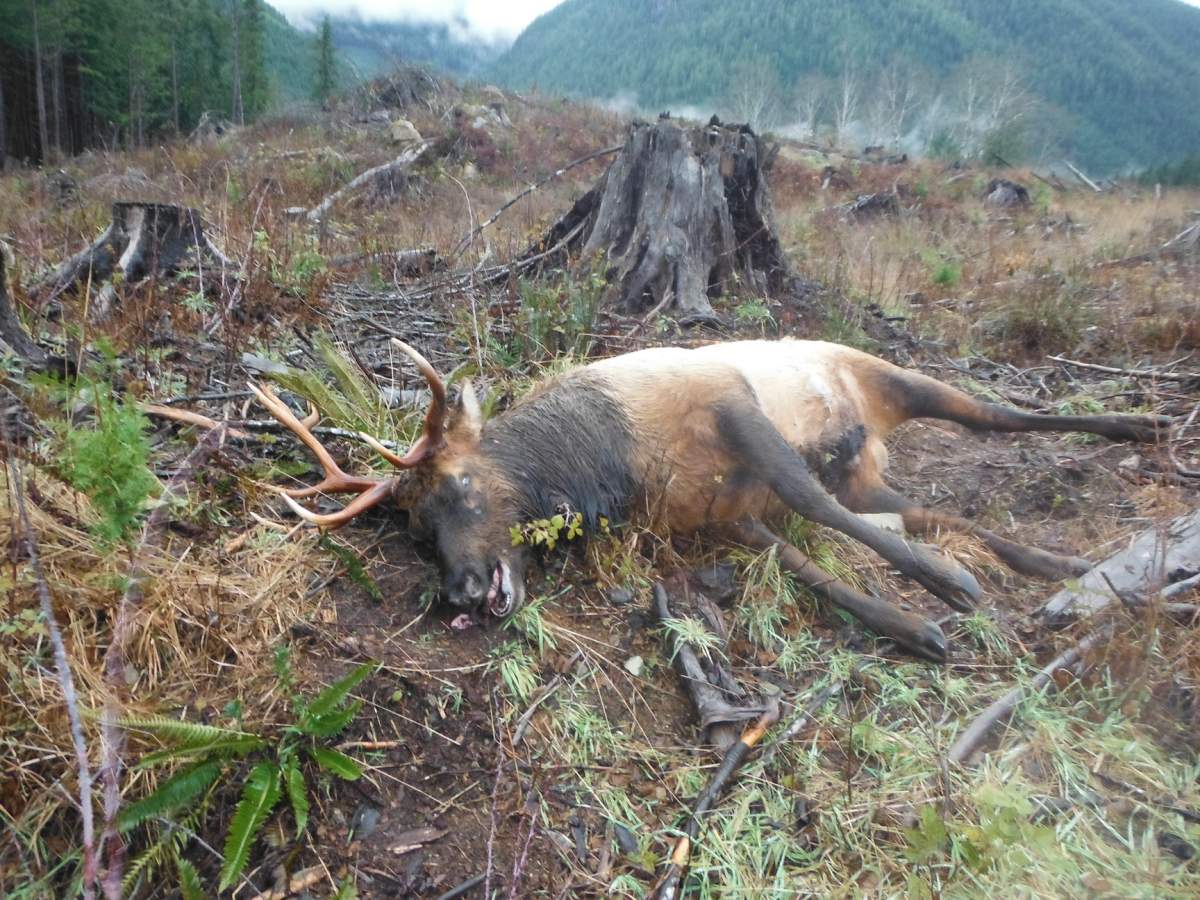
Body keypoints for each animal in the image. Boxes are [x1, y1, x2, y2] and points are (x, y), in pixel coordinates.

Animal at [251, 338, 1168, 662]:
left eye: (460, 485)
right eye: (414, 532)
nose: (462, 591)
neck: (614, 465)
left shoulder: (733, 408)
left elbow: (823, 518)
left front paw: (949, 586)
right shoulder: (736, 517)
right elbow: (816, 571)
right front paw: (918, 628)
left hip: (893, 379)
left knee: (1001, 414)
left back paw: (1142, 423)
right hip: (872, 471)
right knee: (944, 512)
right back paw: (1069, 564)